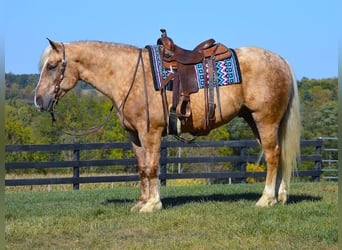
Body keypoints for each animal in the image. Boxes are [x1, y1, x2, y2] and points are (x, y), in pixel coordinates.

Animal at [34, 35, 300, 212]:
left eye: (52, 66)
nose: (38, 100)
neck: (128, 75)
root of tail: (281, 60)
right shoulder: (134, 135)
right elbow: (142, 168)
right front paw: (141, 202)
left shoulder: (150, 132)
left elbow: (152, 167)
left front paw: (152, 205)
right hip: (256, 121)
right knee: (278, 155)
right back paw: (280, 196)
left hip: (265, 119)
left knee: (272, 155)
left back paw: (266, 199)